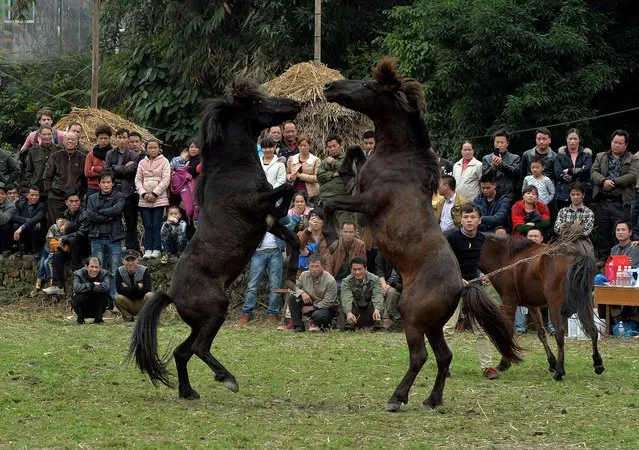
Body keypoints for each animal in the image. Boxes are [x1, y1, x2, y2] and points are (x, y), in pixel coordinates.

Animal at [130, 80, 302, 398]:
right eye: (258, 102)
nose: (295, 104)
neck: (232, 170)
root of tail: (171, 294)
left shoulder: (266, 224)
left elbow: (293, 237)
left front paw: (294, 279)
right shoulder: (256, 206)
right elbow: (285, 188)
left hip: (201, 322)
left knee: (182, 352)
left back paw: (188, 391)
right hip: (215, 312)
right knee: (198, 349)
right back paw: (227, 378)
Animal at [322, 58, 524, 414]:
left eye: (367, 85)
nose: (330, 86)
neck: (397, 159)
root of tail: (461, 285)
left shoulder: (368, 202)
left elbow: (330, 202)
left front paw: (330, 235)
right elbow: (354, 154)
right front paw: (342, 165)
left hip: (414, 318)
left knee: (420, 357)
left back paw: (397, 398)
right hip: (432, 325)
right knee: (444, 357)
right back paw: (433, 399)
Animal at [482, 236, 604, 380]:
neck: (506, 257)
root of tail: (575, 255)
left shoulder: (509, 301)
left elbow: (508, 330)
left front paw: (504, 363)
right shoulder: (532, 305)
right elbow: (541, 333)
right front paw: (552, 362)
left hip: (554, 304)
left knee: (560, 333)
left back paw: (560, 372)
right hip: (585, 302)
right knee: (593, 329)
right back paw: (597, 363)